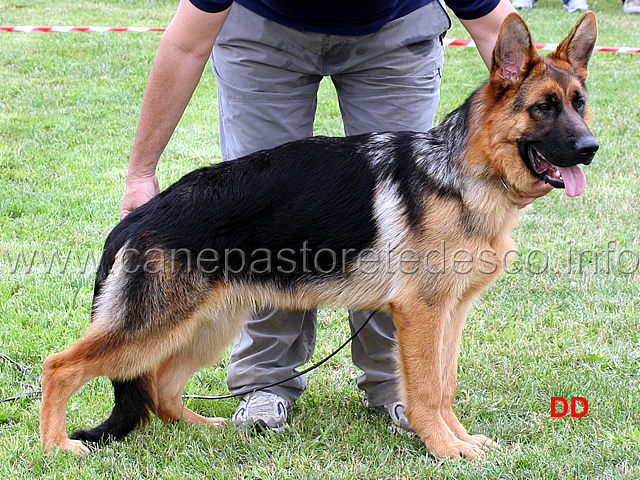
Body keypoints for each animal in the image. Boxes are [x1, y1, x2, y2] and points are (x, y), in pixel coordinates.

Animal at [41, 13, 600, 460]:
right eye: (544, 107)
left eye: (579, 103)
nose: (591, 148)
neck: (464, 172)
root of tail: (137, 217)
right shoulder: (421, 313)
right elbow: (424, 390)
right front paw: (443, 448)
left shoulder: (451, 313)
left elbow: (444, 386)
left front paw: (458, 439)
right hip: (154, 328)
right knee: (61, 366)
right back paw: (56, 447)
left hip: (205, 326)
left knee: (161, 390)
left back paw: (208, 427)